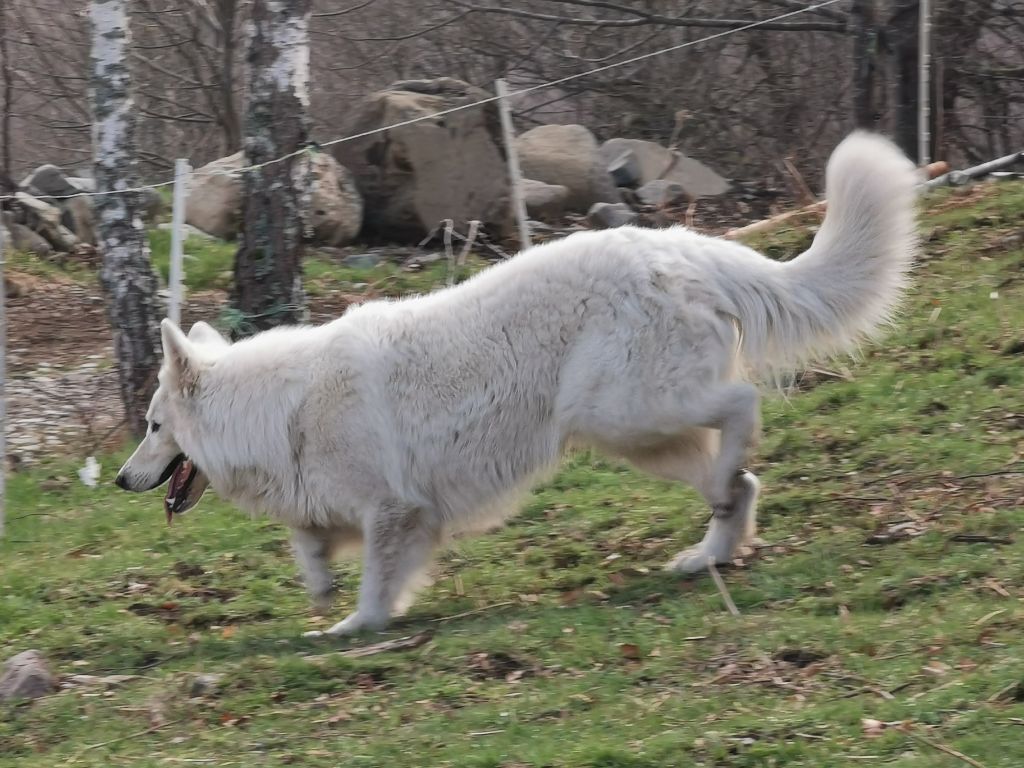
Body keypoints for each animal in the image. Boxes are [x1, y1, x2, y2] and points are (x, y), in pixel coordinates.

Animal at [114, 132, 921, 638]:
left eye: (153, 427)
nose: (121, 480)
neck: (275, 409)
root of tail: (683, 248)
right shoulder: (345, 505)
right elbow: (308, 543)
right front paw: (320, 591)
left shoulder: (395, 511)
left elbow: (375, 577)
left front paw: (358, 625)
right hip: (640, 438)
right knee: (741, 483)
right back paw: (710, 552)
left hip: (623, 412)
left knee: (743, 407)